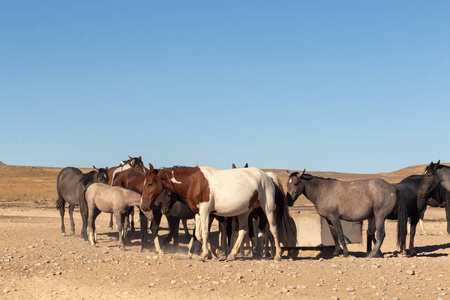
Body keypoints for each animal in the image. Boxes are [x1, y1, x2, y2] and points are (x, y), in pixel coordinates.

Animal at [141, 164, 296, 260]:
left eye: (150, 183)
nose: (144, 206)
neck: (194, 182)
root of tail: (267, 176)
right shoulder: (198, 214)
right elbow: (198, 234)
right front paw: (212, 252)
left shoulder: (205, 212)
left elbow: (204, 233)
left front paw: (205, 254)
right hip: (245, 212)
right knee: (244, 231)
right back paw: (232, 254)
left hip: (268, 209)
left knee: (273, 229)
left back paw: (277, 255)